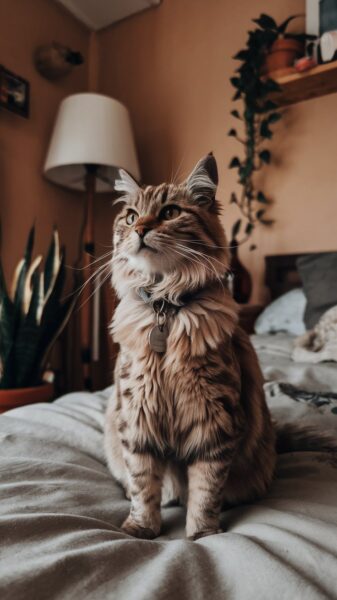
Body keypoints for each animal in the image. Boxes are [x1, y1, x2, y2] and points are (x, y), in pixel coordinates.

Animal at [105, 154, 276, 540]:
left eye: (169, 212)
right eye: (131, 217)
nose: (140, 230)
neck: (165, 308)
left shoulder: (214, 422)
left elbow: (206, 489)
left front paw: (202, 535)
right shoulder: (137, 418)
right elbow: (143, 483)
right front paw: (141, 529)